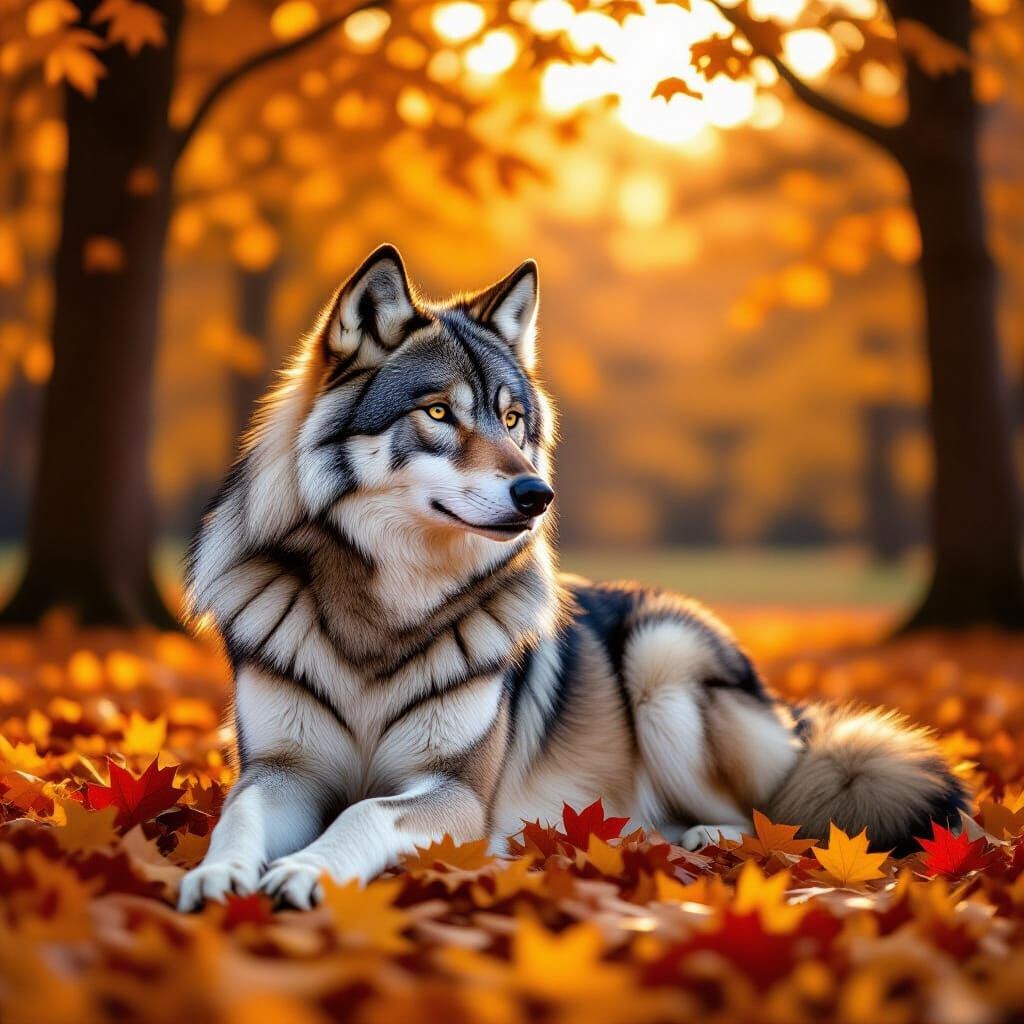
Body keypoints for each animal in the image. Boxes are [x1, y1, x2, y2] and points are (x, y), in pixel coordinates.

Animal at [178, 244, 967, 910]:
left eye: (511, 419)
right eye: (438, 412)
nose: (537, 495)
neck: (387, 613)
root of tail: (788, 718)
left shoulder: (458, 793)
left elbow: (363, 813)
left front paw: (306, 870)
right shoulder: (281, 772)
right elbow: (236, 817)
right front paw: (217, 873)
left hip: (663, 663)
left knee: (768, 818)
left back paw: (700, 839)